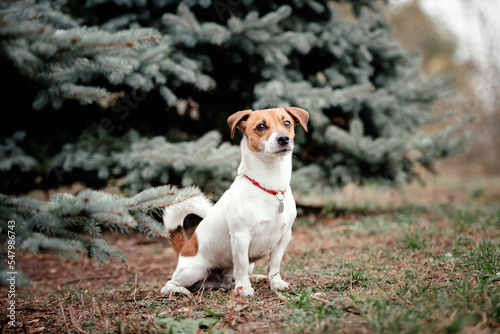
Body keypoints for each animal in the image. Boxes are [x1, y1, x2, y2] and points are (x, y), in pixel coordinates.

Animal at [160, 107, 308, 298]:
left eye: (287, 123)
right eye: (261, 126)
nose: (283, 139)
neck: (270, 186)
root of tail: (185, 247)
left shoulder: (284, 236)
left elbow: (274, 265)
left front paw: (275, 283)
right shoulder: (241, 237)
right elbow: (241, 265)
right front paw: (244, 288)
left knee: (223, 281)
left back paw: (254, 278)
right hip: (193, 270)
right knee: (170, 284)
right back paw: (180, 290)